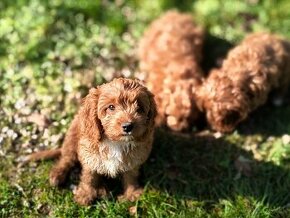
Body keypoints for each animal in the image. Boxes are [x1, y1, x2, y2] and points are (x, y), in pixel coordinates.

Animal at [24, 77, 156, 205]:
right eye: (111, 107)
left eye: (139, 108)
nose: (128, 126)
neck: (116, 142)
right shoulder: (90, 156)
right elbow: (89, 177)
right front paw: (85, 195)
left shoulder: (135, 158)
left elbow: (131, 175)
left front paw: (132, 193)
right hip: (71, 137)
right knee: (67, 158)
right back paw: (57, 175)